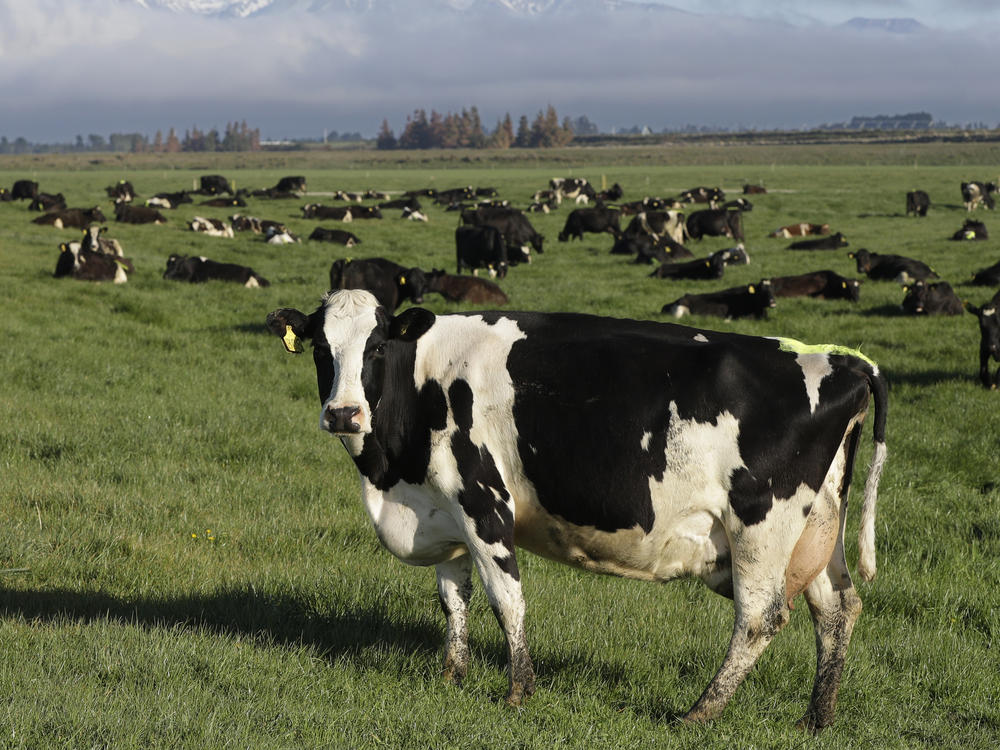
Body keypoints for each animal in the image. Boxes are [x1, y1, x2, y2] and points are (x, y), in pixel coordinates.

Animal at [268, 292, 892, 736]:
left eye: (376, 347)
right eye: (322, 350)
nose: (344, 413)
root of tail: (844, 362)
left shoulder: (483, 502)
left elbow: (506, 598)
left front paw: (518, 692)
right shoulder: (442, 509)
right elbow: (453, 597)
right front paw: (452, 675)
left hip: (762, 524)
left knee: (761, 617)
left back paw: (699, 713)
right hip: (817, 528)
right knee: (837, 610)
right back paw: (816, 718)